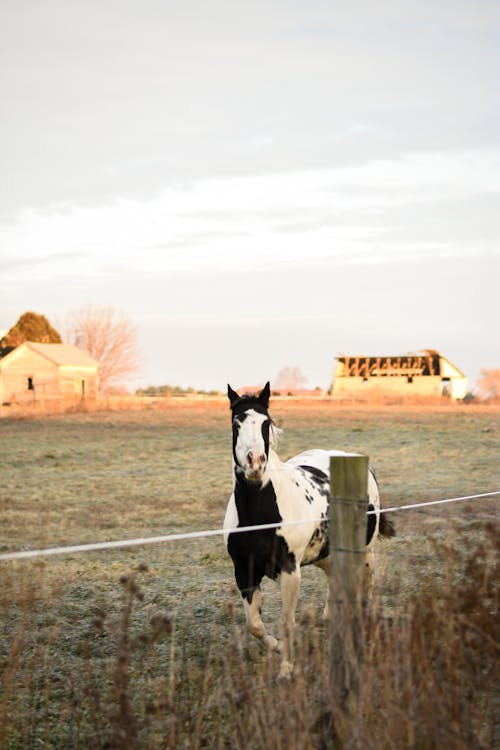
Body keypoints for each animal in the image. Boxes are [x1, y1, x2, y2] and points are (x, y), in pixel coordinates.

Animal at [224, 382, 394, 680]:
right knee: (335, 578)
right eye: (237, 423)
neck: (260, 514)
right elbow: (254, 624)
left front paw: (286, 670)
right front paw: (278, 647)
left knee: (366, 585)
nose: (255, 463)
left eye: (266, 423)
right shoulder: (244, 571)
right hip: (325, 552)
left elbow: (286, 620)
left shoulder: (290, 570)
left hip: (365, 551)